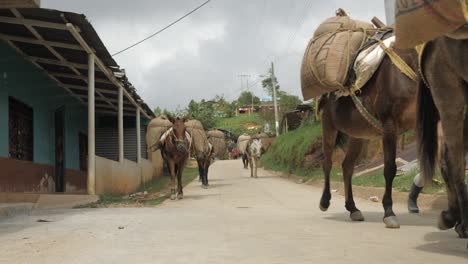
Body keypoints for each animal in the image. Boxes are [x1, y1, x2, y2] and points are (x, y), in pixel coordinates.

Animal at [318, 48, 416, 229]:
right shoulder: (389, 127)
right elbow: (390, 169)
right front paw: (389, 212)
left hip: (357, 136)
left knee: (347, 166)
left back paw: (353, 208)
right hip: (329, 128)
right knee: (327, 163)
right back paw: (324, 201)